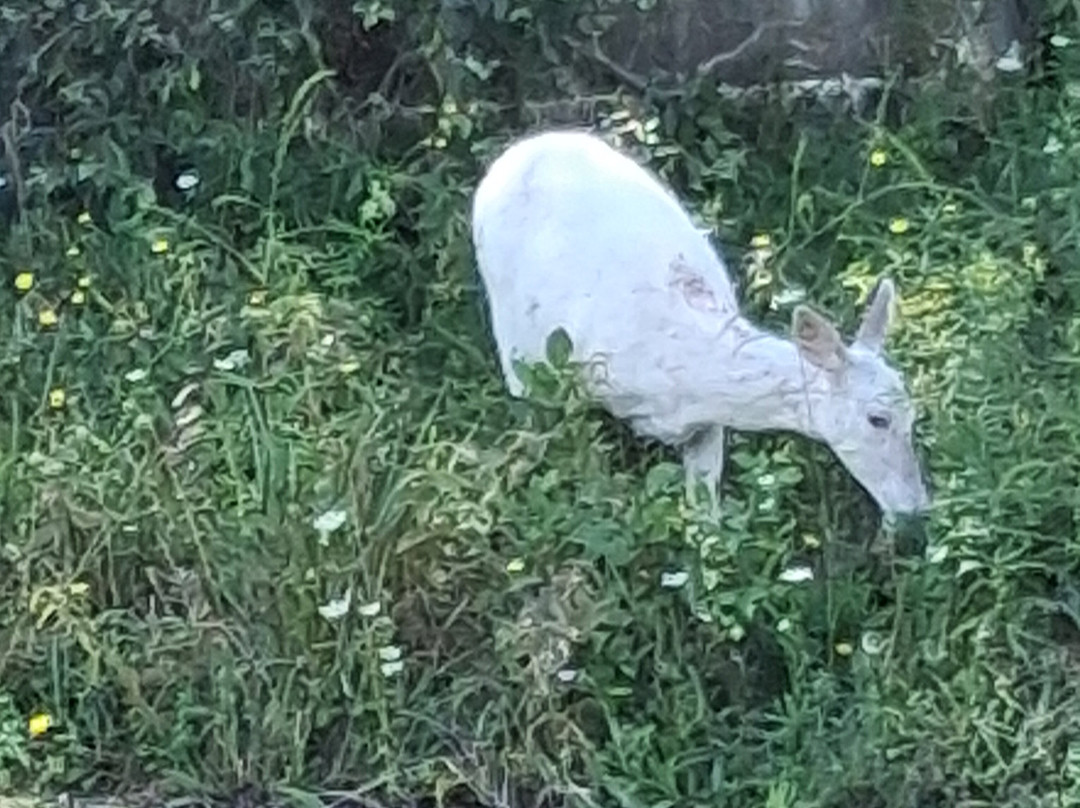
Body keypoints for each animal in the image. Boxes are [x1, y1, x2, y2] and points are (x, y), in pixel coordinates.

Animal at [470, 130, 931, 516]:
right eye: (877, 419)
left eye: (913, 415)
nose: (916, 507)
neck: (687, 376)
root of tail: (522, 148)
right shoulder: (582, 390)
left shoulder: (707, 427)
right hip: (512, 329)